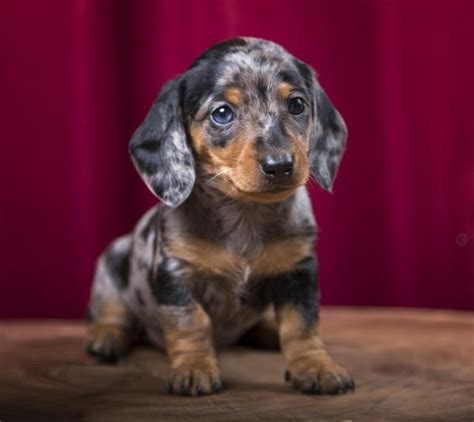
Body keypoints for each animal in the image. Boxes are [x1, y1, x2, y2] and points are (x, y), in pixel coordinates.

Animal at [85, 38, 354, 398]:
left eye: (297, 105)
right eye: (222, 113)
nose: (280, 165)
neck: (245, 214)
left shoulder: (299, 271)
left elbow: (302, 325)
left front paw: (316, 366)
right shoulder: (176, 273)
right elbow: (190, 322)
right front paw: (194, 367)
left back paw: (268, 330)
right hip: (112, 263)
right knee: (113, 313)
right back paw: (107, 338)